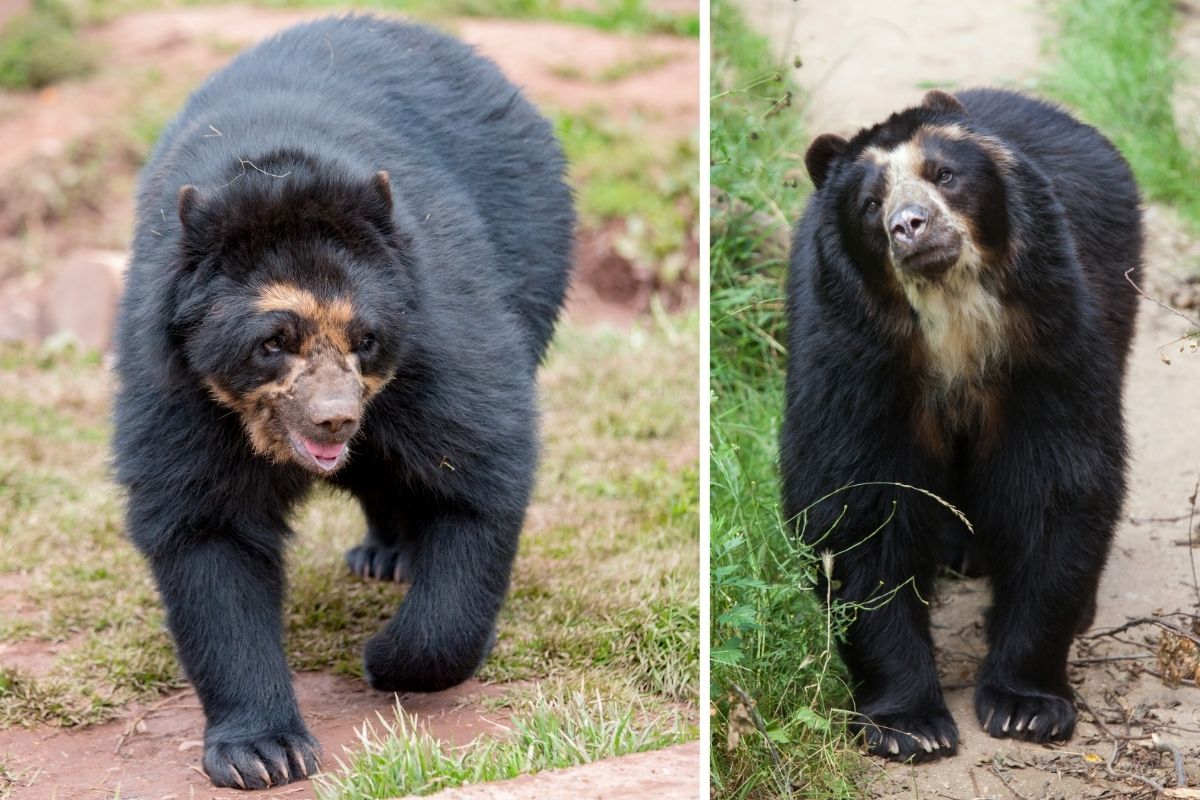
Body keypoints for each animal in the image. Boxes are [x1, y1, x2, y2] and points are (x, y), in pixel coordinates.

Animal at [113, 15, 576, 791]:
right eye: (272, 342)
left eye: (365, 337)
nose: (336, 418)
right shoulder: (175, 383)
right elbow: (206, 531)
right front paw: (263, 754)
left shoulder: (435, 331)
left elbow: (476, 471)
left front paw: (387, 659)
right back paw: (382, 552)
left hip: (533, 244)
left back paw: (393, 559)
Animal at [782, 87, 1137, 762]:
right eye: (870, 204)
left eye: (944, 175)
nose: (909, 225)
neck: (953, 319)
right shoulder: (855, 363)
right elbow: (859, 506)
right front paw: (907, 725)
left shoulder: (1049, 338)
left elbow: (1058, 487)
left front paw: (1026, 707)